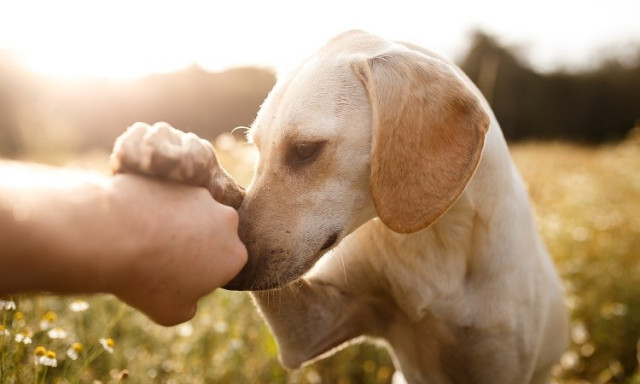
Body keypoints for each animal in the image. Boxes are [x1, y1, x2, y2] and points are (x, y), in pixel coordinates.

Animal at [112, 30, 568, 384]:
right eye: (256, 149)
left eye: (305, 150)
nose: (234, 272)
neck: (433, 241)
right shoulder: (312, 328)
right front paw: (175, 150)